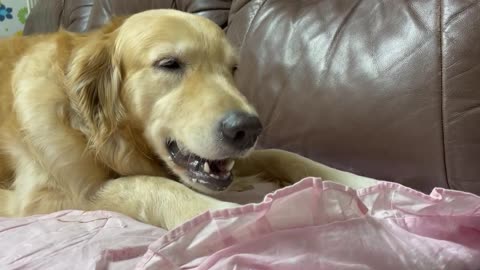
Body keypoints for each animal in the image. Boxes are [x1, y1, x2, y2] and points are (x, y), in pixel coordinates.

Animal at [0, 9, 376, 229]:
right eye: (169, 64)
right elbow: (147, 184)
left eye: (232, 69)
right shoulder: (50, 195)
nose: (248, 129)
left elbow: (284, 154)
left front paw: (361, 182)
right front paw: (241, 218)